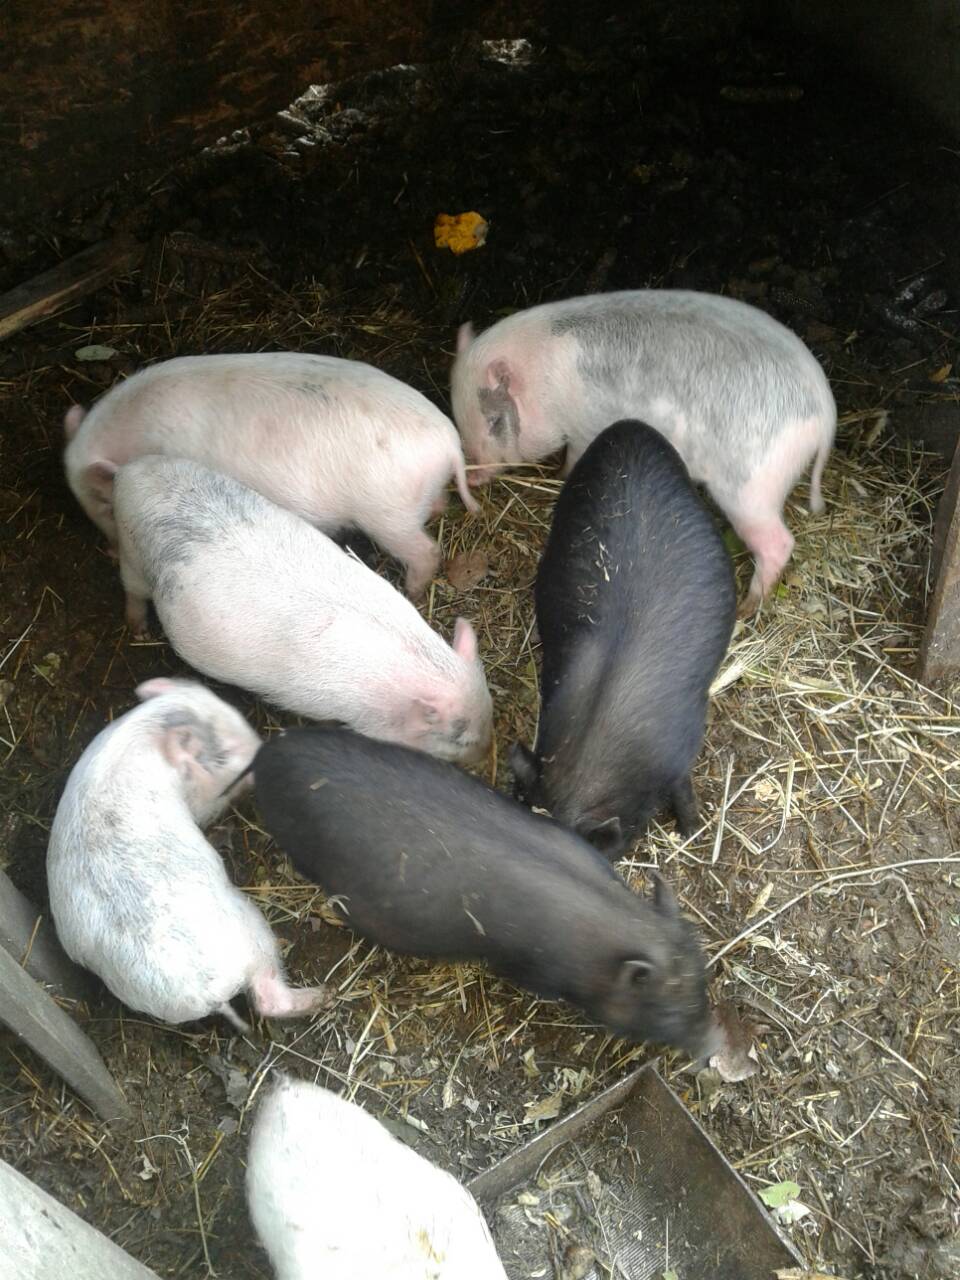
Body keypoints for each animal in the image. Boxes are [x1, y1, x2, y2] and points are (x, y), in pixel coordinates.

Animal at [46, 678, 331, 1029]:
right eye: (226, 752)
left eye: (233, 713)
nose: (264, 749)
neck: (139, 732)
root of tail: (205, 993)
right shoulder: (201, 800)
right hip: (251, 928)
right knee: (268, 999)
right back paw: (325, 995)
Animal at [63, 352, 477, 598]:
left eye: (105, 501)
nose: (109, 550)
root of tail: (450, 444)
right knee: (437, 508)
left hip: (387, 513)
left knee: (426, 551)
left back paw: (411, 591)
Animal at [113, 457, 492, 765]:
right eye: (458, 738)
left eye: (490, 707)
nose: (483, 756)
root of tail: (128, 471)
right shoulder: (317, 701)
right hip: (131, 555)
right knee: (132, 591)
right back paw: (139, 630)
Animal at [450, 289, 836, 613]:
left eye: (494, 421)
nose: (475, 475)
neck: (545, 384)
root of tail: (826, 412)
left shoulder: (585, 428)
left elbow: (574, 457)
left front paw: (560, 476)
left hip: (751, 486)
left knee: (779, 542)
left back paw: (748, 607)